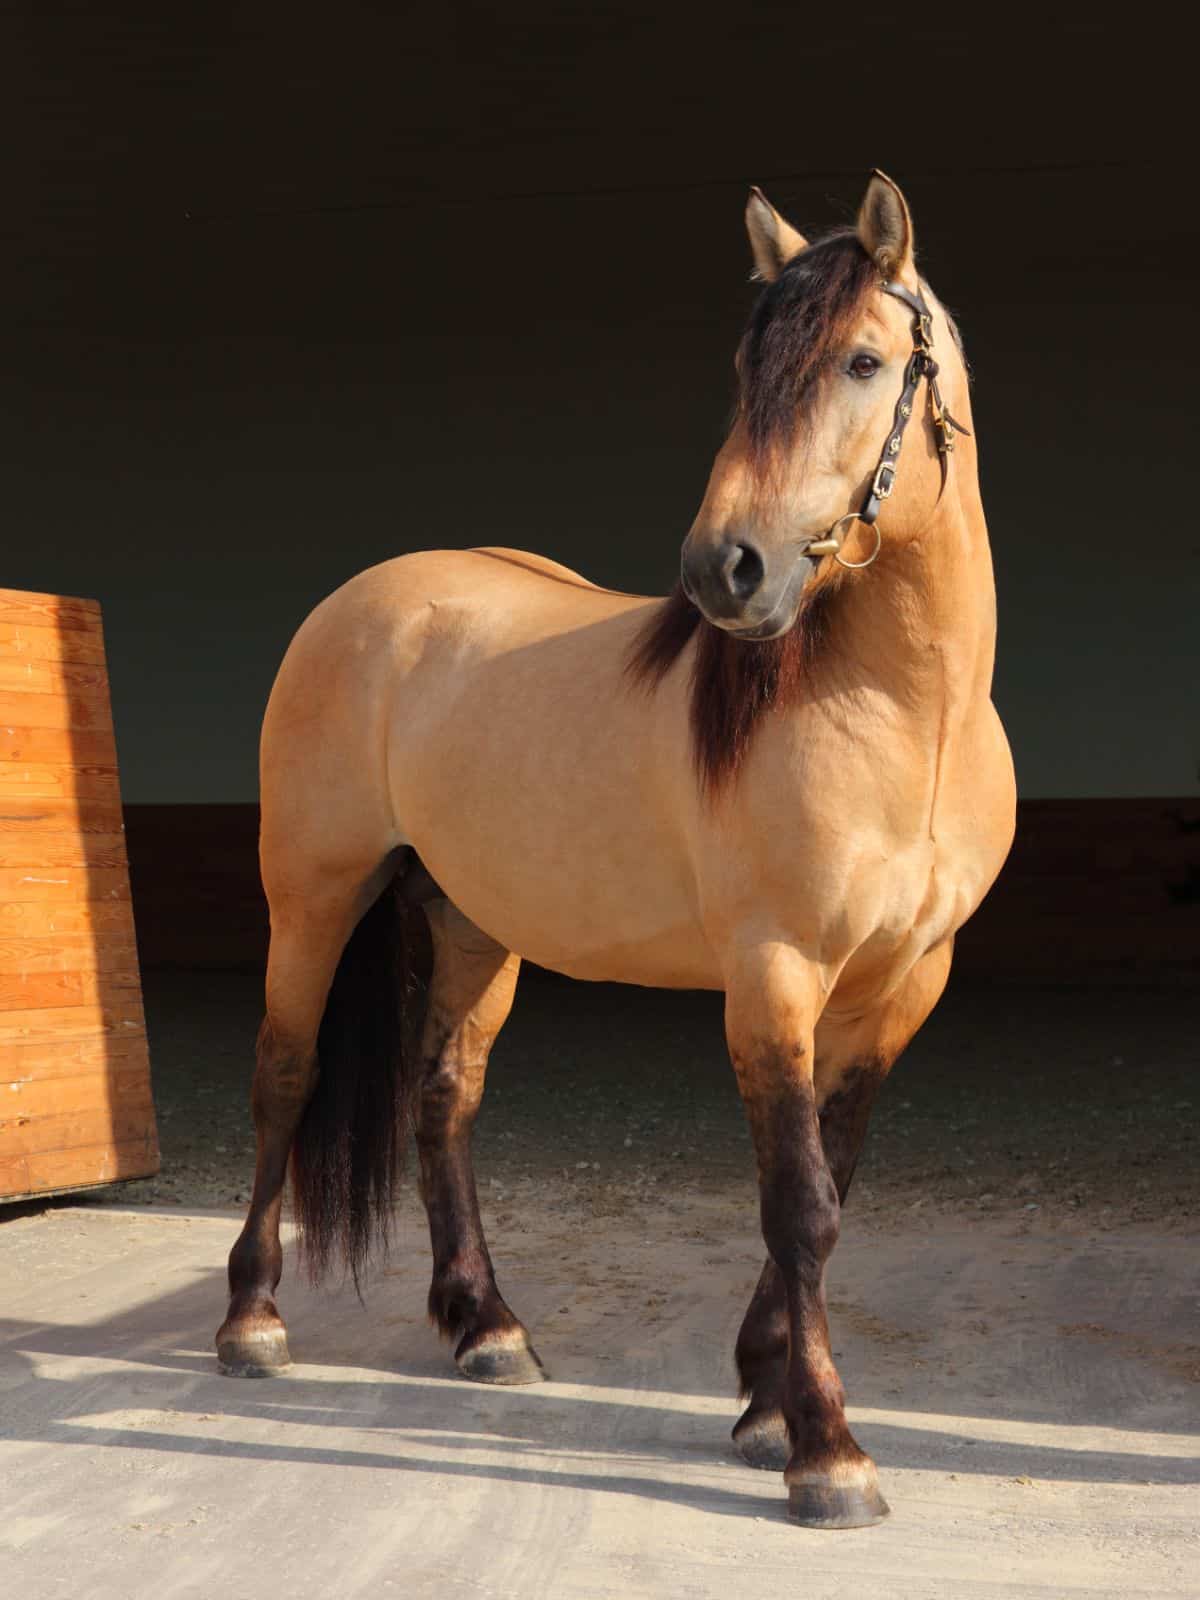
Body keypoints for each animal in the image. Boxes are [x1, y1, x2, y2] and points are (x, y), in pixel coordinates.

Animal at [214, 168, 1017, 1529]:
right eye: (745, 367)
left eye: (864, 360)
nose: (725, 569)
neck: (908, 718)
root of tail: (367, 597)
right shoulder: (774, 975)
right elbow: (800, 1206)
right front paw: (826, 1451)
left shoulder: (902, 986)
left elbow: (832, 1185)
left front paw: (761, 1400)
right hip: (313, 894)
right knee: (285, 1074)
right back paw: (252, 1322)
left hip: (474, 924)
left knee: (444, 1096)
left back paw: (486, 1327)